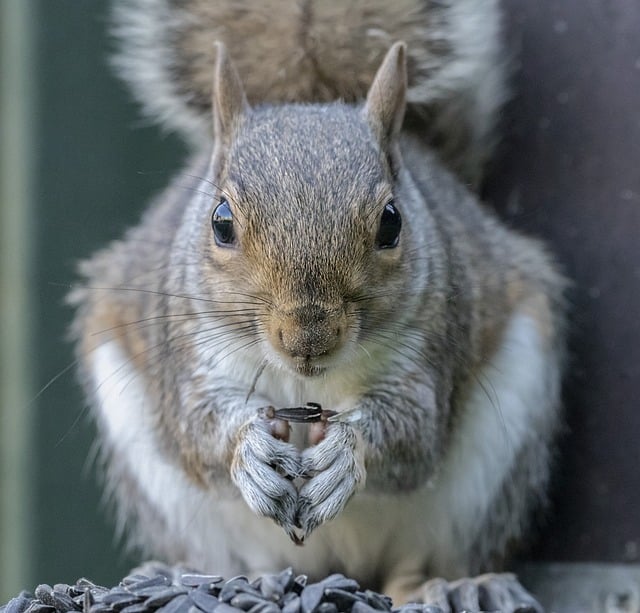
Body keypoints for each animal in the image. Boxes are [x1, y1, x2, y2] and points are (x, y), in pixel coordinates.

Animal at [67, 1, 564, 612]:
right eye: (221, 222)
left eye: (392, 222)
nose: (307, 336)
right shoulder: (191, 349)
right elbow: (197, 429)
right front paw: (248, 448)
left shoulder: (429, 347)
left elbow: (414, 434)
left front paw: (347, 451)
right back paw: (233, 580)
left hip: (488, 468)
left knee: (414, 565)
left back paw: (449, 585)